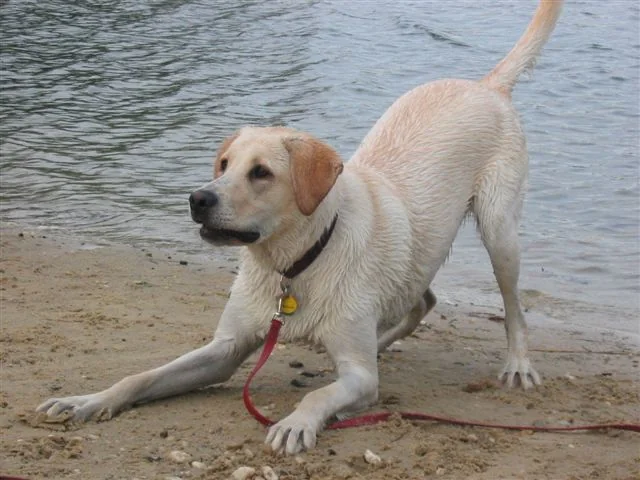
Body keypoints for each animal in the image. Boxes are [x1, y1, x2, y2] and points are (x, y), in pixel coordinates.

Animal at [37, 0, 564, 454]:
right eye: (223, 165)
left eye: (261, 173)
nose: (197, 199)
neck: (293, 264)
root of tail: (486, 85)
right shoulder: (224, 350)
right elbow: (142, 376)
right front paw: (89, 400)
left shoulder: (359, 378)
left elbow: (319, 395)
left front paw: (296, 423)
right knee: (423, 300)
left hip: (500, 232)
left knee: (513, 307)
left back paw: (518, 364)